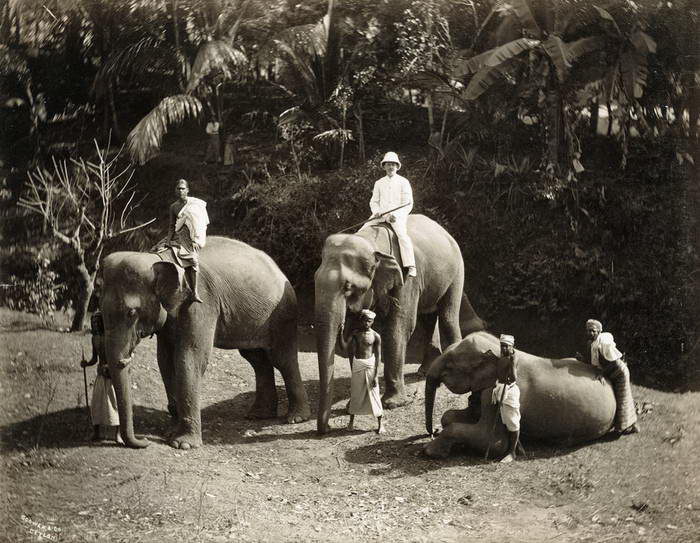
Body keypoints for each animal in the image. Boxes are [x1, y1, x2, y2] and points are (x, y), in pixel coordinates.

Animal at [102, 237, 312, 450]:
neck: (158, 257)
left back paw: (295, 418)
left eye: (131, 313)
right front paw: (170, 434)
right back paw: (258, 415)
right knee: (256, 359)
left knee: (282, 358)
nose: (144, 441)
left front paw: (182, 444)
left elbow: (189, 358)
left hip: (283, 313)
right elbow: (165, 361)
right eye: (101, 311)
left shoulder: (200, 302)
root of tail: (279, 269)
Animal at [314, 215, 484, 436]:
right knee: (427, 318)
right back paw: (424, 371)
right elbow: (357, 334)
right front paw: (352, 403)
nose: (326, 428)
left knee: (447, 315)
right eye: (314, 281)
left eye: (348, 287)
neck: (372, 243)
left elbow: (400, 326)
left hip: (456, 271)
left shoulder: (407, 277)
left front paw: (392, 404)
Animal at [424, 332, 616, 460]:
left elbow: (492, 442)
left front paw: (428, 450)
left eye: (449, 366)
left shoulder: (496, 393)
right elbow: (449, 416)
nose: (432, 432)